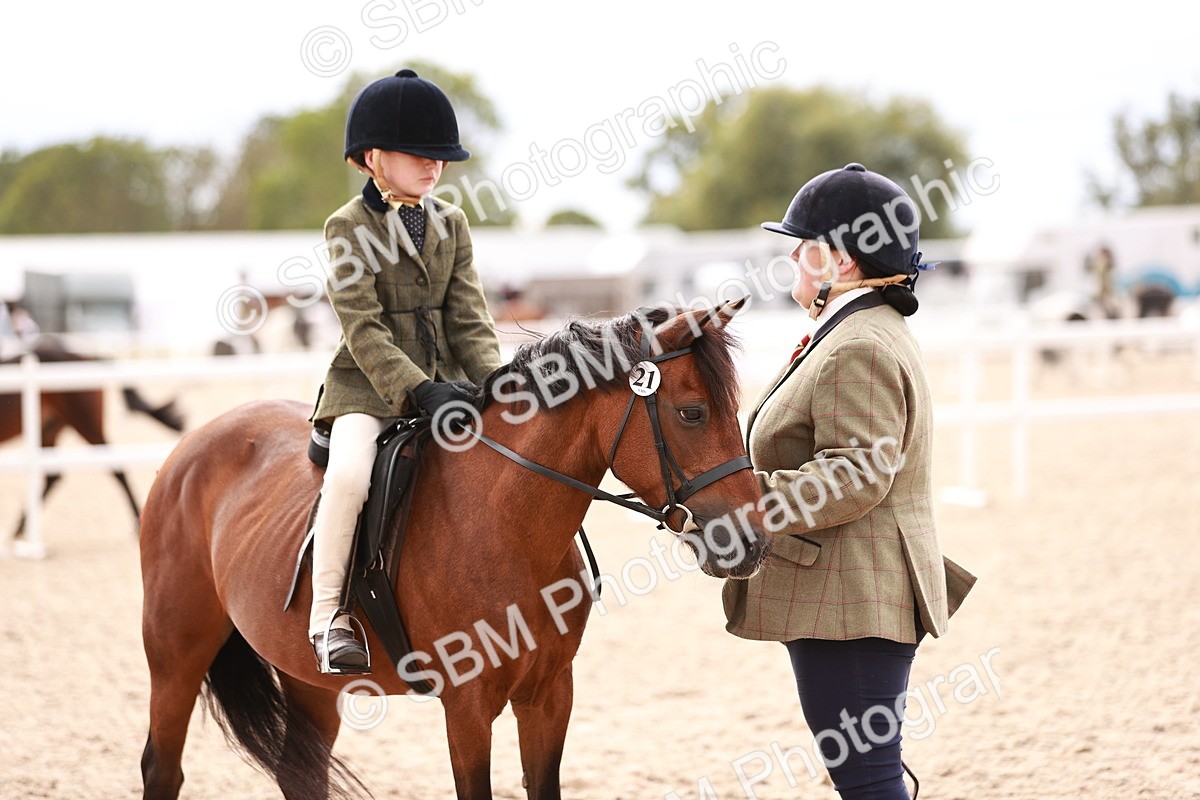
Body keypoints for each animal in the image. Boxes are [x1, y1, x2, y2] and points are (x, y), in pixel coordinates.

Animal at [0, 340, 185, 538]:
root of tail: (88, 357)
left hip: (85, 423)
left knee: (117, 468)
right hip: (50, 429)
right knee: (52, 474)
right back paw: (20, 527)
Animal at [138, 299, 770, 800]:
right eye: (691, 413)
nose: (751, 541)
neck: (508, 527)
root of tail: (191, 446)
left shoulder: (549, 695)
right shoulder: (467, 708)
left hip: (307, 677)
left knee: (301, 771)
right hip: (175, 654)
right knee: (161, 767)